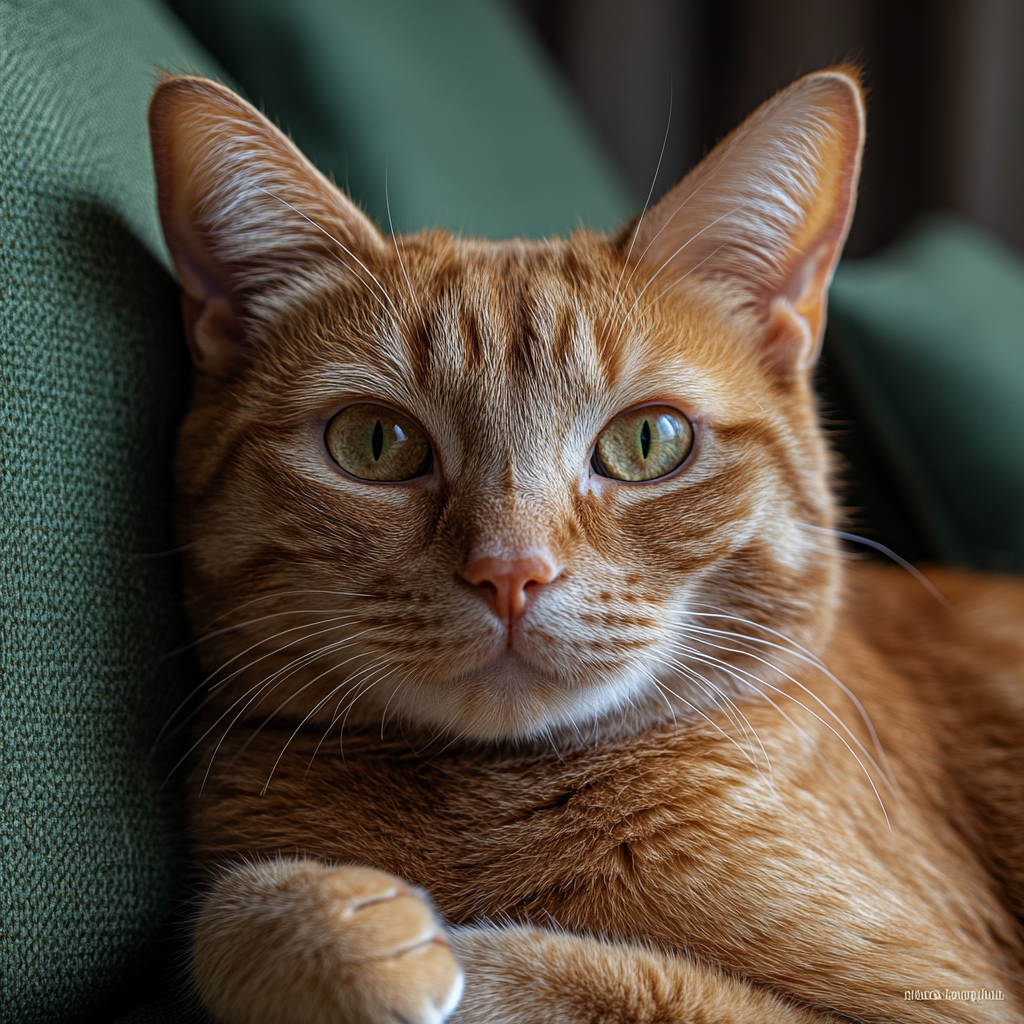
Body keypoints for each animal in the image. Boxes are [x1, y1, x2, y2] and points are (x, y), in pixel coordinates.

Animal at [149, 66, 1024, 1024]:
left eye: (648, 443)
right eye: (375, 443)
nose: (509, 571)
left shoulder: (942, 1001)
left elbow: (590, 974)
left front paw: (416, 940)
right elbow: (218, 916)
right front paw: (317, 921)